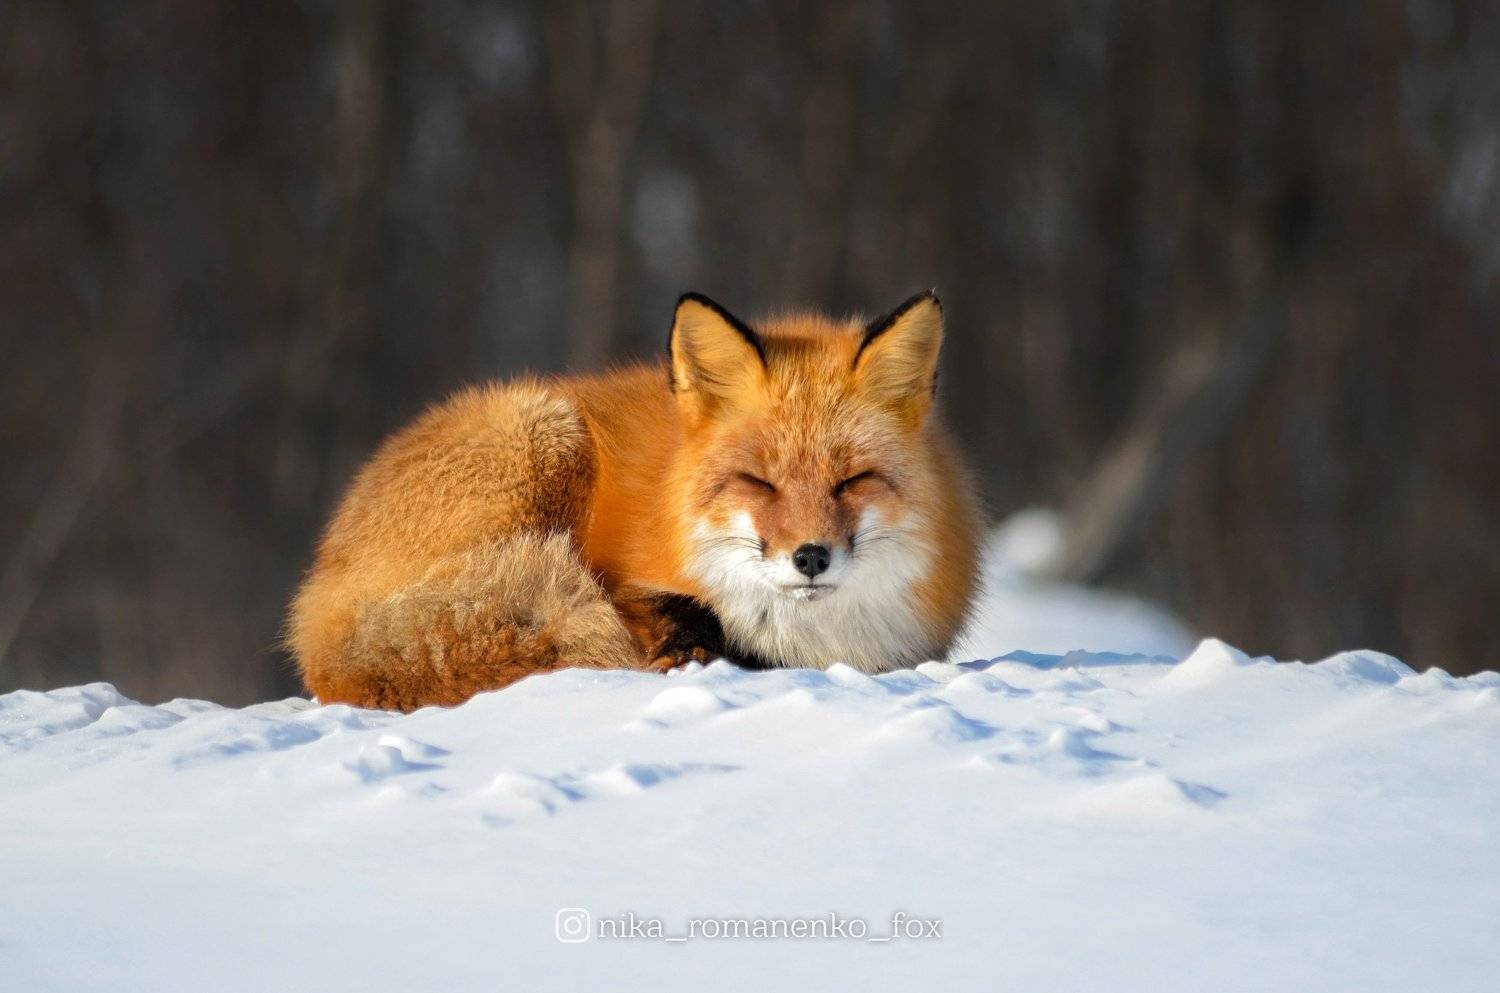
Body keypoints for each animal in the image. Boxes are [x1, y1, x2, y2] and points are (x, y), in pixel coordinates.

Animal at [287, 291, 982, 711]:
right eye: (759, 481)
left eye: (852, 480)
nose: (810, 557)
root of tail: (318, 592)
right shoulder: (626, 580)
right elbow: (661, 609)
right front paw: (686, 647)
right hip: (546, 435)